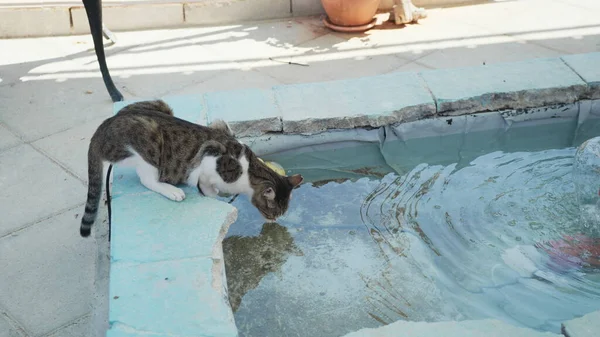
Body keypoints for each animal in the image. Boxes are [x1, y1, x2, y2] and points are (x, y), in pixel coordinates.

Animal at [80, 100, 304, 236]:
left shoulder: (219, 125)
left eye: (282, 211)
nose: (275, 220)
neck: (247, 171)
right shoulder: (208, 158)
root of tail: (101, 129)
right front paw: (213, 195)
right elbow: (206, 184)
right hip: (149, 145)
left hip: (160, 104)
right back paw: (173, 191)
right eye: (273, 210)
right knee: (147, 179)